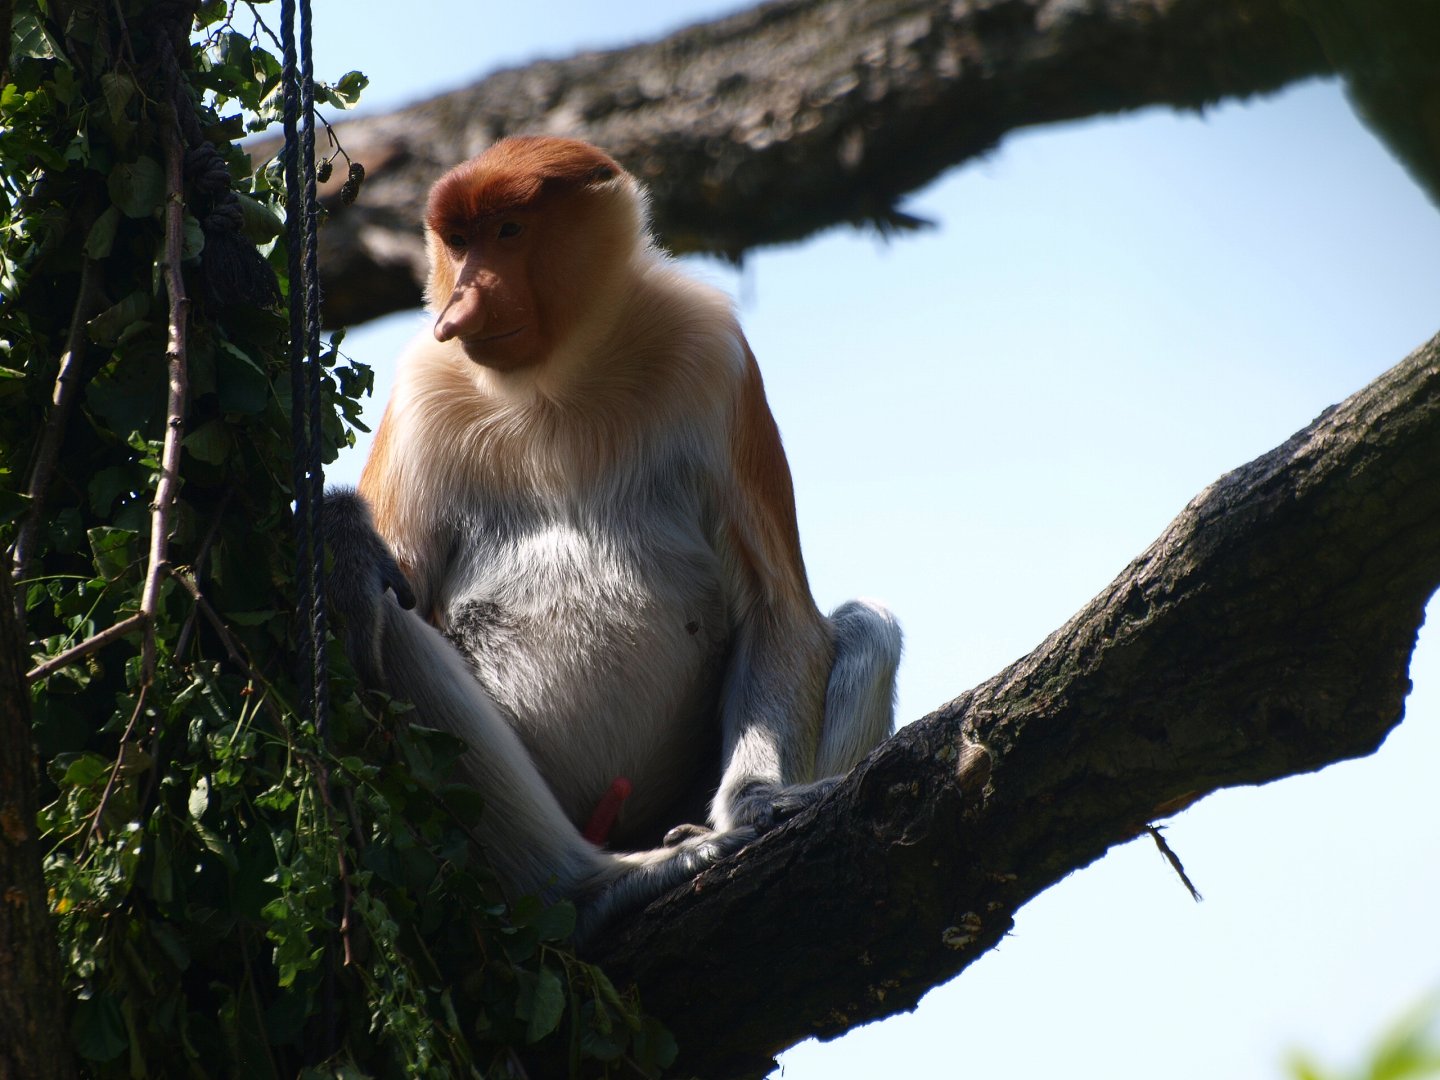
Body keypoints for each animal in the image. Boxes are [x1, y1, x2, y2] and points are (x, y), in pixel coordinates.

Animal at [325, 136, 901, 934]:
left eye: (509, 231)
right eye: (459, 242)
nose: (462, 303)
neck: (560, 380)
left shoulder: (717, 360)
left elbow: (777, 609)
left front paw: (758, 804)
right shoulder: (422, 390)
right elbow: (395, 572)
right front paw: (344, 545)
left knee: (870, 625)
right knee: (392, 625)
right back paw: (590, 887)